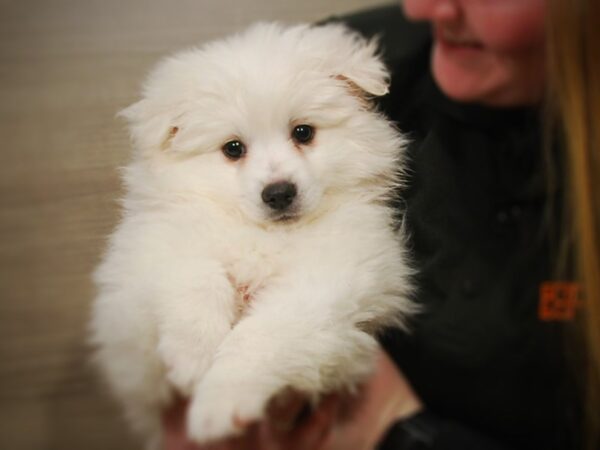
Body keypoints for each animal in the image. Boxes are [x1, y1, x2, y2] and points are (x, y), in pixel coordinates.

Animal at [91, 22, 414, 450]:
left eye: (303, 132)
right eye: (233, 148)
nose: (278, 193)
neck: (264, 236)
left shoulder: (330, 279)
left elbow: (260, 337)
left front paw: (218, 405)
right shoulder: (154, 243)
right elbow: (194, 276)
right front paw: (194, 357)